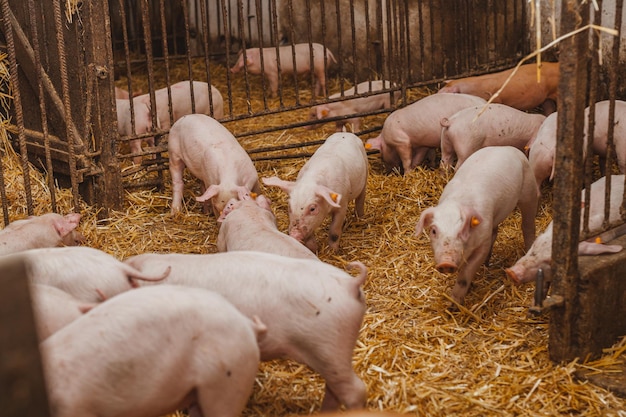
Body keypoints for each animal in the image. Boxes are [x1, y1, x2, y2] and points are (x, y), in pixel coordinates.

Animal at [414, 146, 536, 306]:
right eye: (434, 231)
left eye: (462, 230)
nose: (446, 262)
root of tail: (506, 147)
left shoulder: (482, 243)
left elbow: (465, 275)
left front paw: (453, 305)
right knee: (495, 231)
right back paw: (487, 263)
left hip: (529, 190)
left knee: (528, 225)